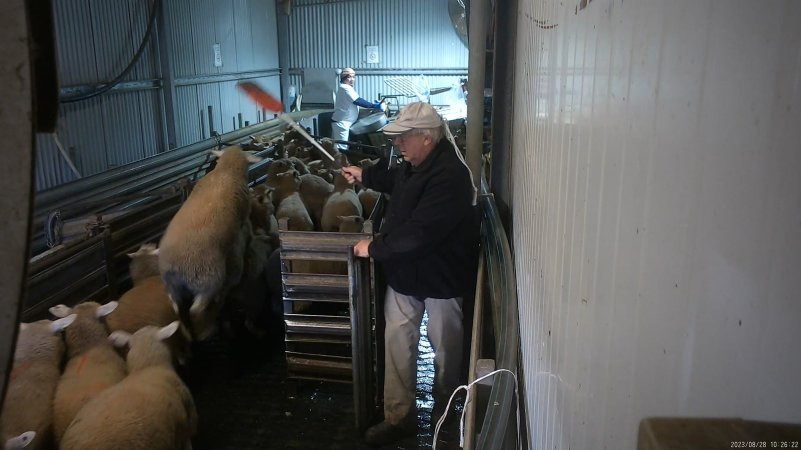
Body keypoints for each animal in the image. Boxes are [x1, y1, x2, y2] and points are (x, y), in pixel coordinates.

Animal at [159, 147, 262, 342]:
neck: (226, 171)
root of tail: (179, 267)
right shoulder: (244, 212)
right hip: (210, 281)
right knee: (195, 310)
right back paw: (205, 330)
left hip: (172, 285)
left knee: (177, 308)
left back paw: (186, 331)